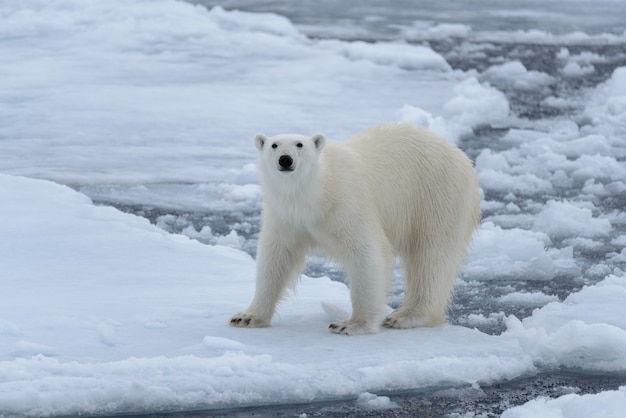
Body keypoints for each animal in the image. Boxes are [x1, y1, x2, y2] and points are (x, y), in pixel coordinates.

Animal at [229, 122, 478, 334]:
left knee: (432, 256)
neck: (316, 193)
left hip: (437, 194)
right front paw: (247, 317)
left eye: (300, 144)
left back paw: (406, 316)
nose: (285, 159)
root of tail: (458, 152)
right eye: (274, 145)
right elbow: (276, 257)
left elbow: (366, 252)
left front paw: (351, 324)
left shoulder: (346, 202)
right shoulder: (285, 215)